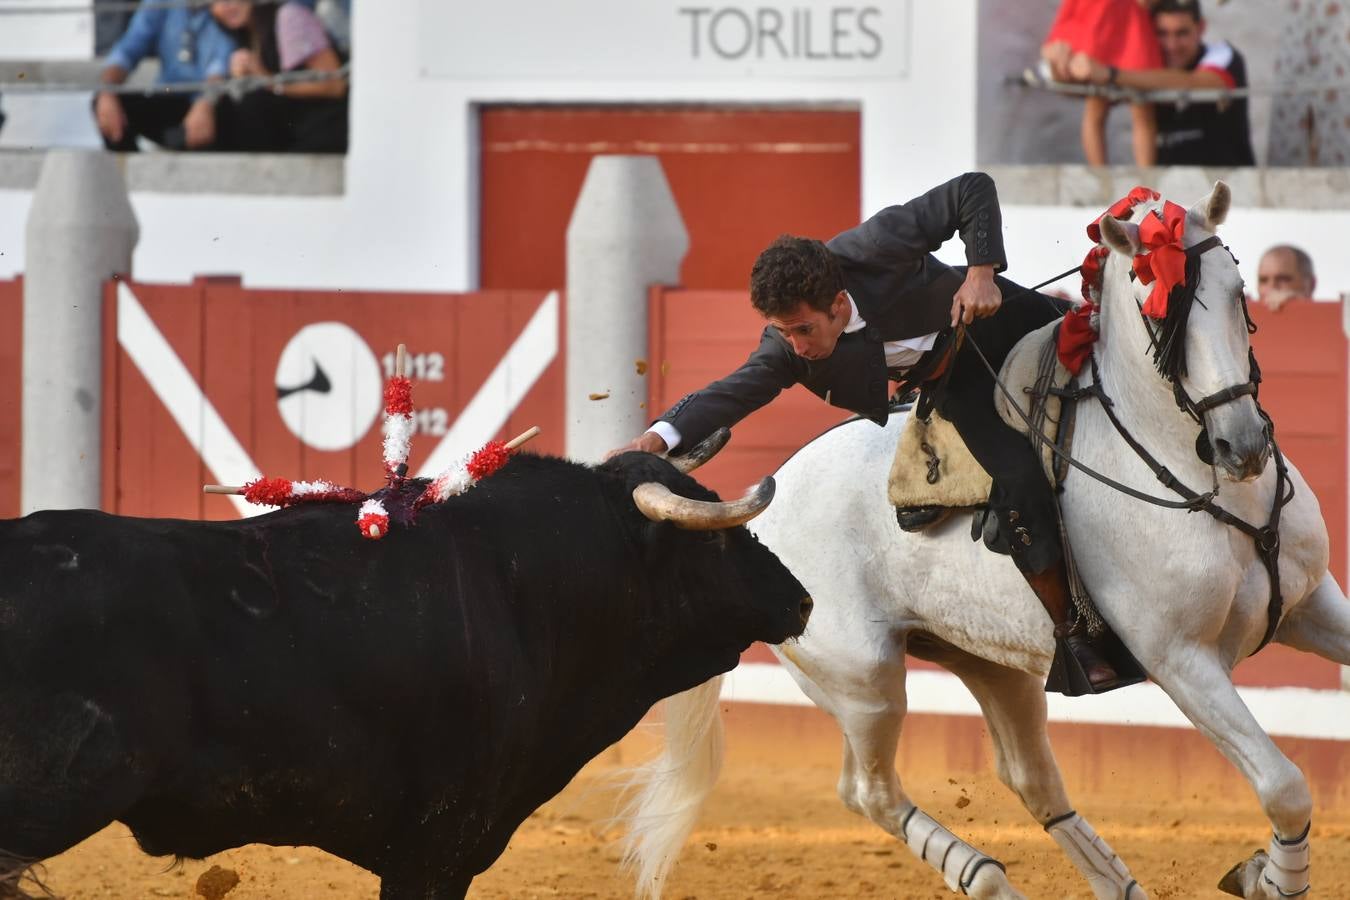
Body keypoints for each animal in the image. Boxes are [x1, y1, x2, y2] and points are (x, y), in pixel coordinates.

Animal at [618, 184, 1350, 900]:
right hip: (863, 680)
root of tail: (757, 517)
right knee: (869, 791)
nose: (1241, 445)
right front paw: (1265, 878)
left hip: (990, 662)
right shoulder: (1180, 659)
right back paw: (983, 875)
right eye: (1158, 314)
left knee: (1030, 777)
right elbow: (1284, 785)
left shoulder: (1313, 603)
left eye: (1237, 290)